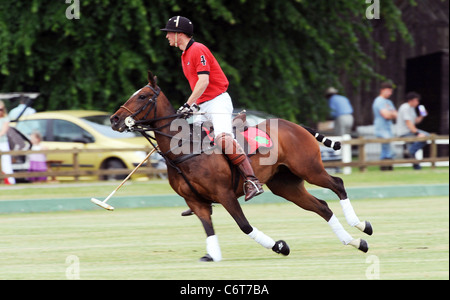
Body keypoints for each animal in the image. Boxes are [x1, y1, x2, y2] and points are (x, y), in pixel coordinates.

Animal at [110, 71, 370, 262]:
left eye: (143, 96)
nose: (114, 119)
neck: (183, 150)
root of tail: (296, 125)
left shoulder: (224, 193)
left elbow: (244, 226)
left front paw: (280, 246)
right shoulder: (196, 201)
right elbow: (209, 230)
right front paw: (211, 255)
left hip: (309, 168)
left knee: (337, 184)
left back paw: (361, 225)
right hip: (285, 185)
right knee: (322, 206)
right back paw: (355, 241)